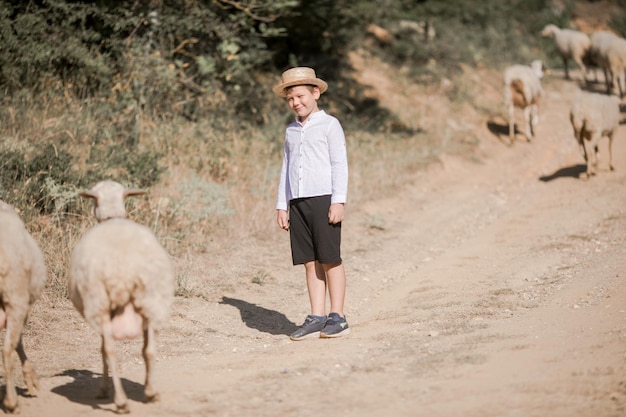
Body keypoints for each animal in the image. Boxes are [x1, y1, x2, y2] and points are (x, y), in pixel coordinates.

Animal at [69, 180, 173, 412]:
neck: (113, 219)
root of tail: (122, 271)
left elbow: (102, 349)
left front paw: (103, 389)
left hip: (99, 303)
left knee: (110, 351)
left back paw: (120, 400)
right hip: (151, 302)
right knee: (149, 350)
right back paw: (150, 392)